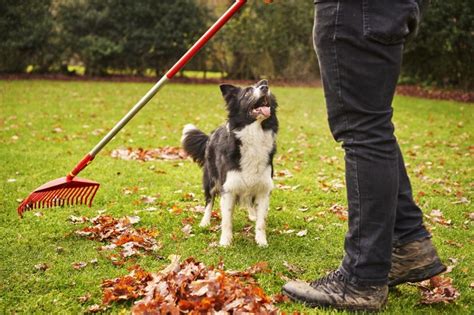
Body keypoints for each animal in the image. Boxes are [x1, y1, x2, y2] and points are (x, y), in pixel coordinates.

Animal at [181, 80, 278, 248]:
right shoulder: (228, 188)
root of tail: (211, 135)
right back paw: (205, 222)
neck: (255, 135)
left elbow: (261, 221)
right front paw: (225, 242)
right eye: (247, 92)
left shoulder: (264, 189)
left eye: (262, 86)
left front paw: (261, 241)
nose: (265, 87)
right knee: (209, 201)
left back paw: (252, 214)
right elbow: (226, 221)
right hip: (211, 179)